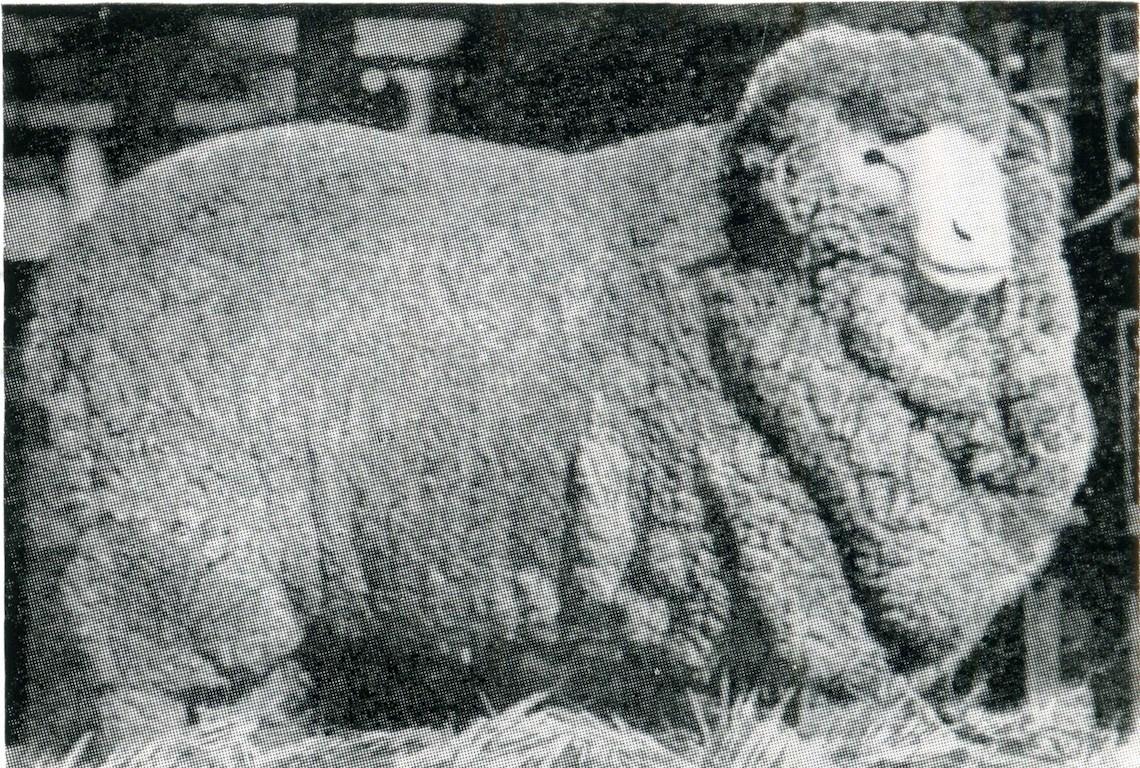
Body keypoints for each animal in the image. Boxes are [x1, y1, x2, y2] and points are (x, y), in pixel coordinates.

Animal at [13, 25, 1089, 752]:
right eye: (874, 161)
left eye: (990, 162)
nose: (975, 239)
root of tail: (69, 276)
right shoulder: (783, 567)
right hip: (165, 536)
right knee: (143, 688)